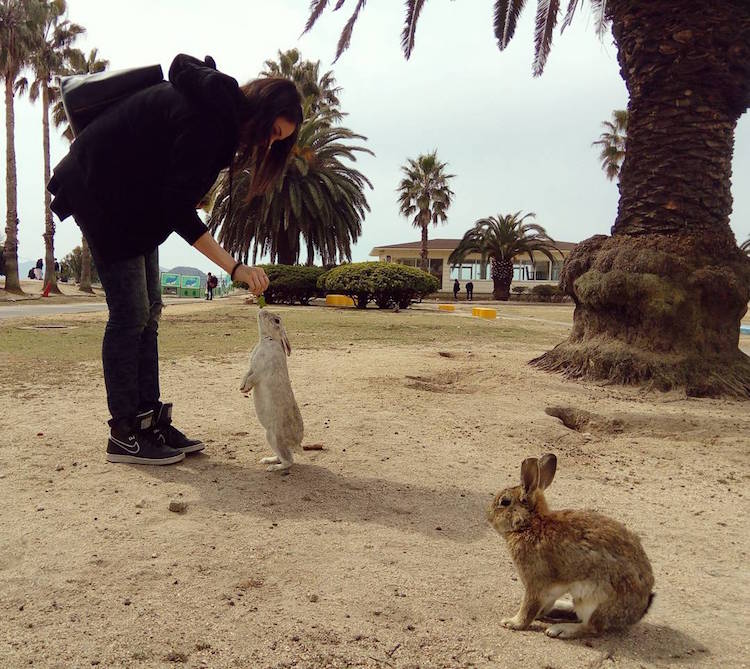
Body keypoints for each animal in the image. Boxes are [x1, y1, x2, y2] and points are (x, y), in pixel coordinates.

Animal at [239, 310, 302, 472]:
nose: (261, 311)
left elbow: (252, 377)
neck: (267, 339)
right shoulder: (252, 367)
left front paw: (245, 387)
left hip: (273, 437)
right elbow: (246, 374)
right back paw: (267, 460)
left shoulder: (261, 370)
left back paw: (272, 467)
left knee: (289, 461)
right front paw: (242, 387)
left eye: (277, 320)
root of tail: (296, 443)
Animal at [490, 454, 656, 636]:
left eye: (505, 502)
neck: (531, 524)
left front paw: (512, 623)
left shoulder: (535, 582)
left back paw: (559, 629)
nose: (489, 517)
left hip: (593, 599)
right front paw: (541, 614)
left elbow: (529, 608)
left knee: (591, 627)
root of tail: (637, 613)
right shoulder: (550, 589)